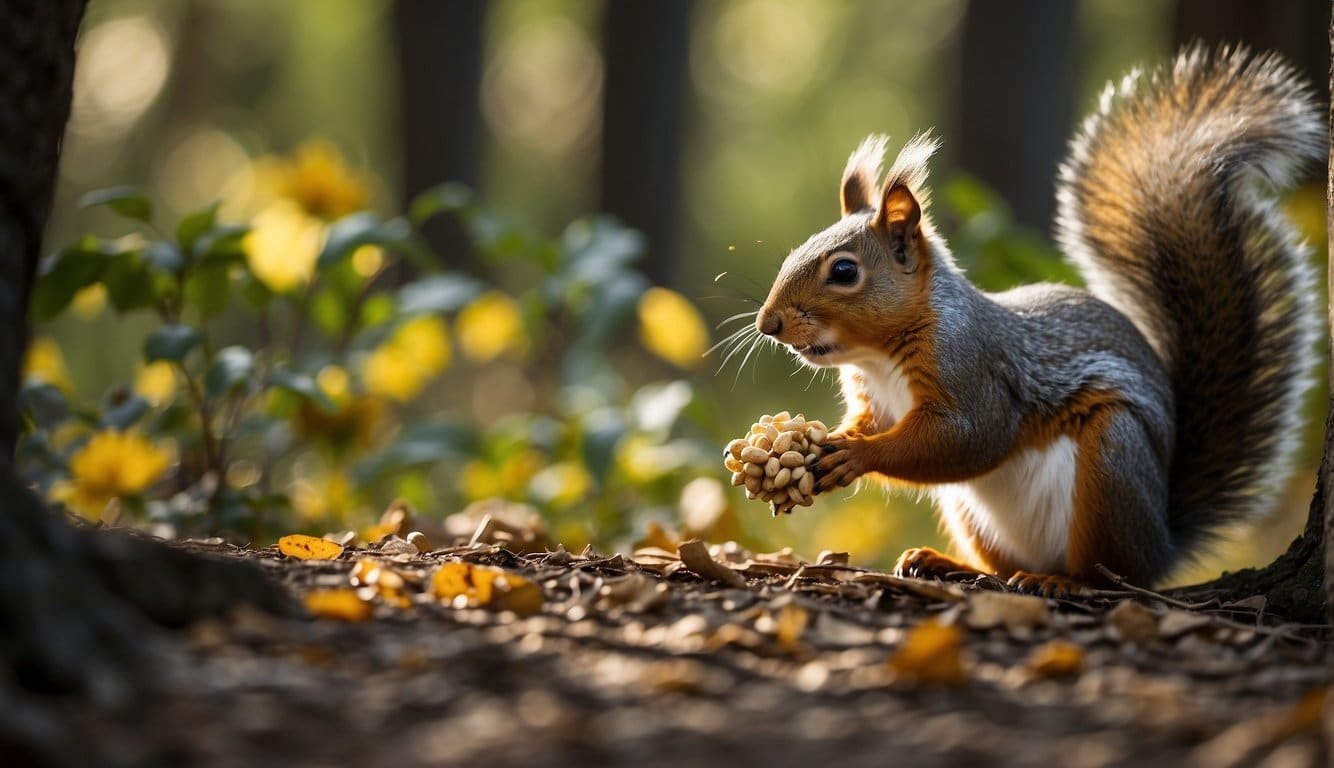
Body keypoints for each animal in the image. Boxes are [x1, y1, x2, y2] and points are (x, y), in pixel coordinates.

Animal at [752, 45, 1323, 594]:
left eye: (844, 271)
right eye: (796, 251)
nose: (767, 324)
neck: (878, 357)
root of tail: (1164, 543)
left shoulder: (973, 370)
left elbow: (966, 437)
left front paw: (856, 455)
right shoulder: (878, 399)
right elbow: (877, 424)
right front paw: (830, 440)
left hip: (1112, 464)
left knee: (1109, 572)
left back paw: (1060, 580)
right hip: (972, 513)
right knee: (1002, 568)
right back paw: (946, 564)